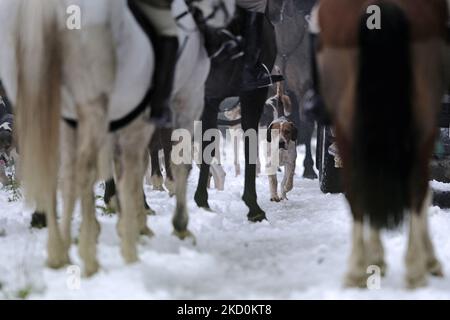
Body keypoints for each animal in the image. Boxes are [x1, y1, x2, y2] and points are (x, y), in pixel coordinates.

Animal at [0, 0, 236, 276]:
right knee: (84, 170)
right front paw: (168, 225)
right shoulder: (186, 101)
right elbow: (168, 166)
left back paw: (59, 248)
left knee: (60, 172)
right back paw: (89, 251)